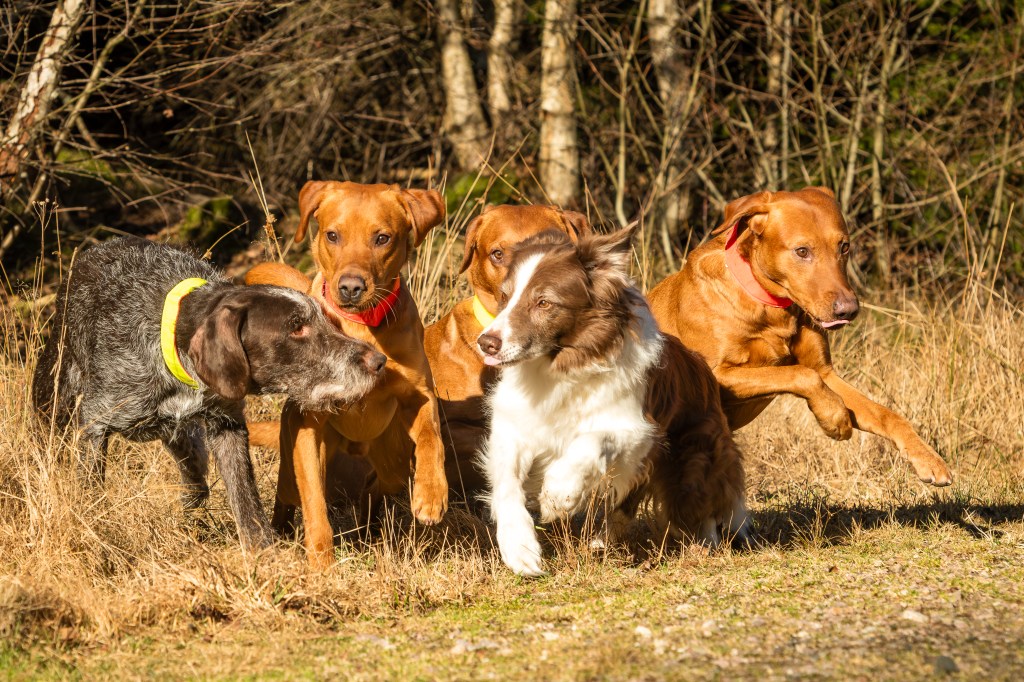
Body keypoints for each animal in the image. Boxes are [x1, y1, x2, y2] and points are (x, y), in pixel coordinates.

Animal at [32, 236, 386, 549]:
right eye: (296, 327)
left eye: (326, 321)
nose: (378, 362)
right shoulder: (94, 425)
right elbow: (91, 489)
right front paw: (94, 527)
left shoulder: (226, 425)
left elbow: (245, 496)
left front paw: (262, 550)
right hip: (53, 398)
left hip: (185, 442)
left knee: (195, 484)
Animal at [245, 180, 449, 567]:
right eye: (333, 235)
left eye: (382, 238)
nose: (351, 286)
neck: (360, 327)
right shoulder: (307, 424)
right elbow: (314, 504)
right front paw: (321, 565)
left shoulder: (419, 395)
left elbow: (433, 438)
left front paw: (432, 492)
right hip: (301, 452)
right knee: (288, 494)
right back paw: (280, 532)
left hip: (392, 456)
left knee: (376, 485)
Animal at [476, 225, 667, 576]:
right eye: (505, 297)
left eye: (544, 302)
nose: (486, 343)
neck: (558, 371)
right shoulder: (511, 426)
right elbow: (507, 483)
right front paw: (519, 548)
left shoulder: (637, 430)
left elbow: (592, 440)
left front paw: (558, 496)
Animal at [647, 187, 952, 486]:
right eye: (802, 251)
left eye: (844, 246)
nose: (849, 310)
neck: (770, 306)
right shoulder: (717, 373)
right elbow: (801, 374)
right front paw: (835, 419)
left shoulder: (827, 373)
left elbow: (886, 414)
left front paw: (928, 459)